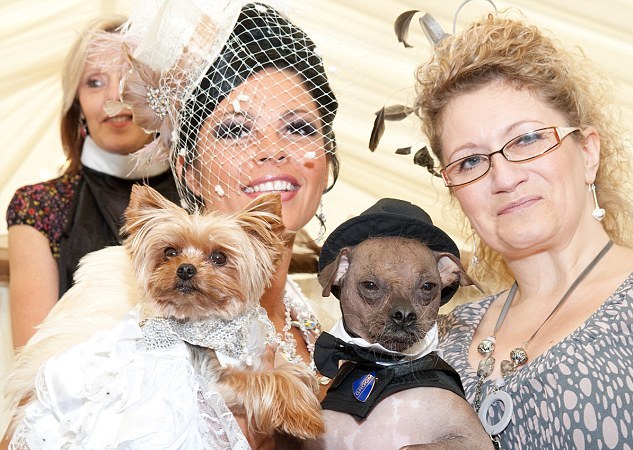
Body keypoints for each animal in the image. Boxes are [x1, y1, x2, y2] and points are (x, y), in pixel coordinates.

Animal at [5, 185, 324, 448]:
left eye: (219, 257)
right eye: (170, 252)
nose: (185, 269)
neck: (208, 322)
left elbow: (287, 371)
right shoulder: (214, 379)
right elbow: (268, 380)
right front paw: (307, 418)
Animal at [303, 198, 493, 450]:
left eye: (428, 286)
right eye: (370, 285)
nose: (404, 315)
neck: (382, 364)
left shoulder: (474, 439)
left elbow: (406, 446)